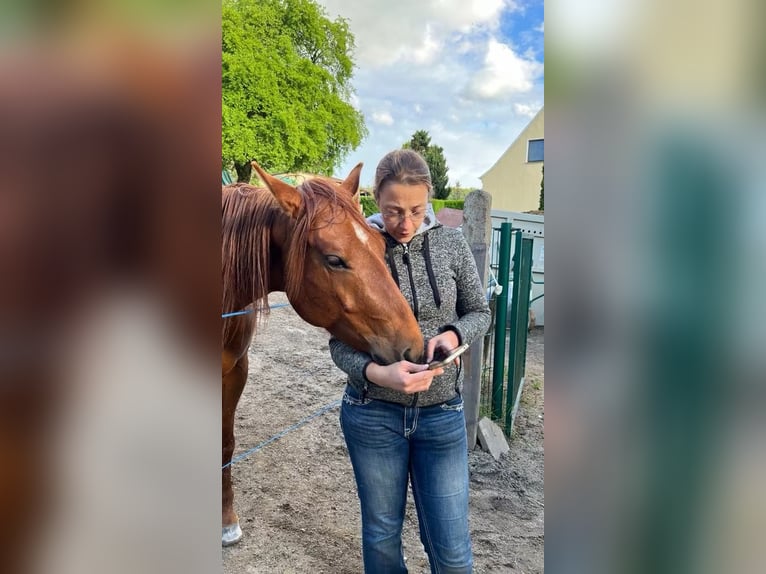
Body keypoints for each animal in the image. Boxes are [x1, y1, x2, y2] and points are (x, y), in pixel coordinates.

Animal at [221, 161, 424, 546]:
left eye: (380, 243)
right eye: (334, 259)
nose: (415, 348)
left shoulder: (234, 370)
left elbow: (225, 444)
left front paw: (226, 519)